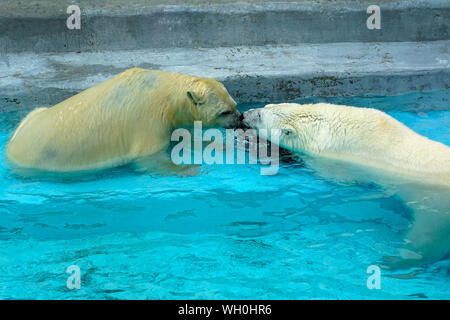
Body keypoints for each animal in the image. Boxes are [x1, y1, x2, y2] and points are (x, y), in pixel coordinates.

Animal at [6, 67, 239, 172]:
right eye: (224, 112)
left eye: (235, 105)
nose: (238, 120)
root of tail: (11, 150)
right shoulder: (149, 121)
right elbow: (150, 157)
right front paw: (189, 168)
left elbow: (186, 138)